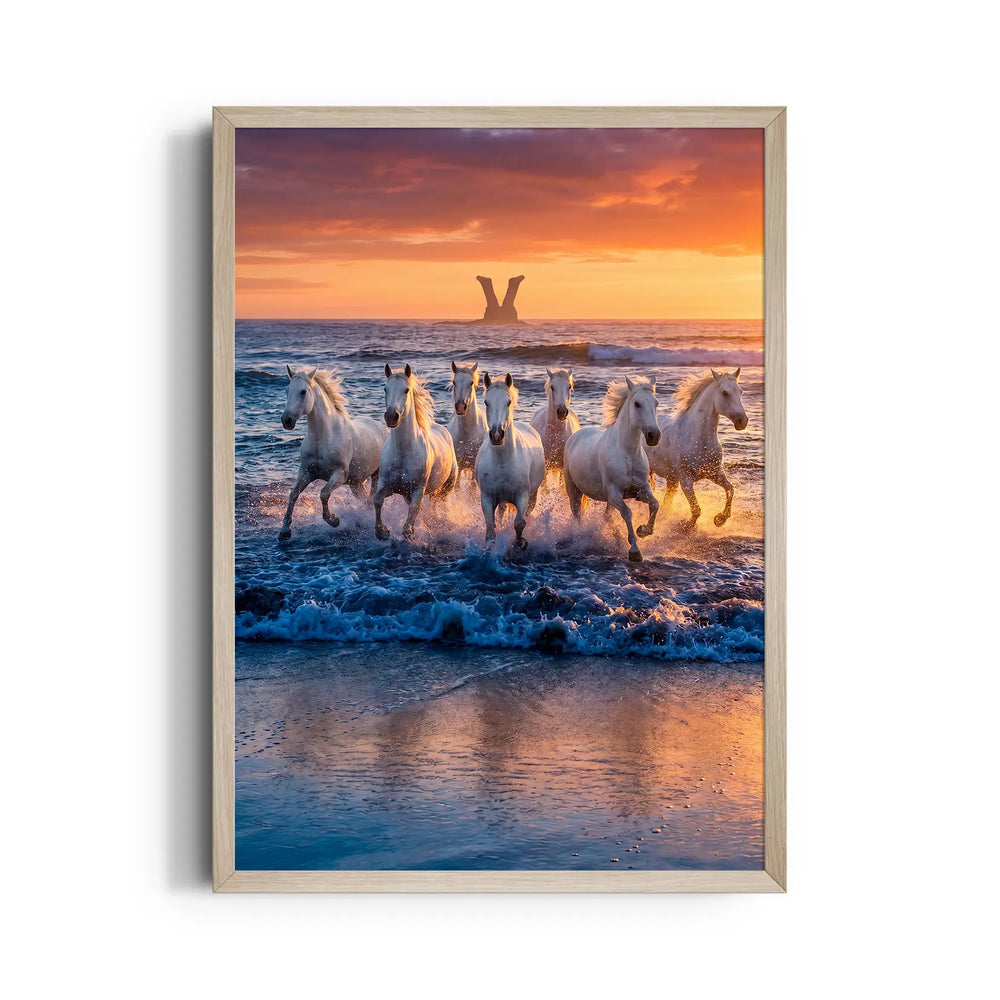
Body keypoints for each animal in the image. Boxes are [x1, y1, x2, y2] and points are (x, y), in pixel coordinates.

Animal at [278, 366, 387, 541]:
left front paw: (334, 520)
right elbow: (293, 494)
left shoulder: (339, 474)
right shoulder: (306, 472)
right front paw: (284, 531)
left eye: (303, 392)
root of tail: (381, 427)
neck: (322, 438)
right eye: (287, 390)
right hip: (355, 483)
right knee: (364, 499)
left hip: (375, 474)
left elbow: (324, 493)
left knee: (371, 497)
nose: (286, 420)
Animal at [373, 363, 458, 541]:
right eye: (385, 389)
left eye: (406, 390)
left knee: (441, 505)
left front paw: (410, 532)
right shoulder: (388, 485)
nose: (391, 416)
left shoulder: (418, 490)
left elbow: (413, 512)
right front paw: (382, 532)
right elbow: (376, 500)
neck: (403, 452)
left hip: (446, 487)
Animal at [474, 372, 545, 550]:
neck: (503, 461)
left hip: (532, 496)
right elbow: (490, 529)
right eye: (486, 402)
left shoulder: (522, 496)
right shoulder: (487, 498)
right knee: (501, 512)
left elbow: (519, 523)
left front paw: (520, 543)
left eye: (508, 402)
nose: (497, 435)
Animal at [563, 375, 661, 561]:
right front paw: (635, 550)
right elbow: (627, 513)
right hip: (574, 491)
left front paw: (643, 530)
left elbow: (654, 504)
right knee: (577, 515)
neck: (627, 453)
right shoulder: (615, 492)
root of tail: (575, 435)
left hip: (608, 500)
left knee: (607, 517)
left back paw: (618, 541)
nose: (654, 436)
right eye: (637, 404)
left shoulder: (640, 490)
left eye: (656, 403)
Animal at [645, 367, 748, 532]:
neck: (699, 440)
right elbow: (696, 509)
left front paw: (719, 519)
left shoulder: (715, 473)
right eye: (725, 393)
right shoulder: (686, 479)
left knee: (667, 501)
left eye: (740, 391)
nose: (742, 421)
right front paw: (686, 527)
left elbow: (730, 489)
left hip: (671, 479)